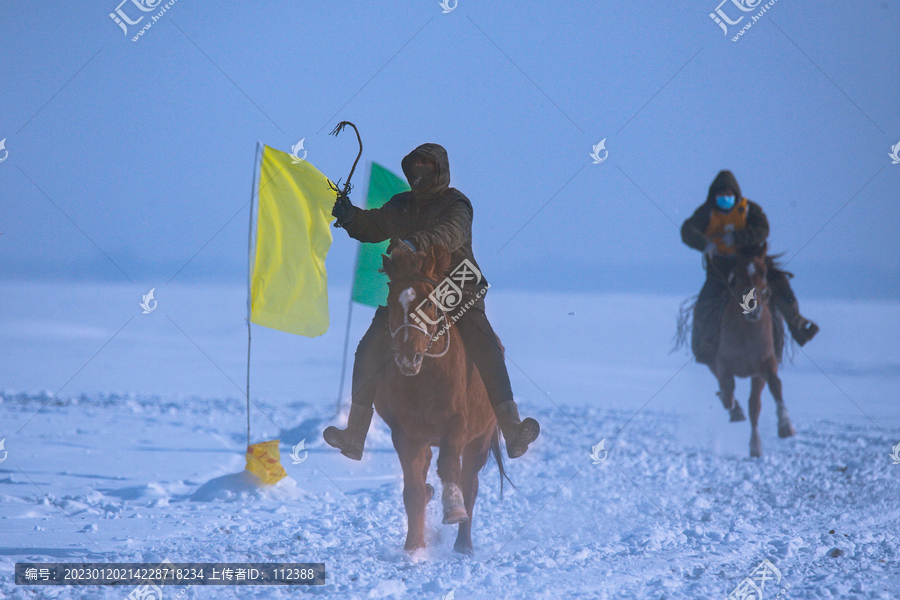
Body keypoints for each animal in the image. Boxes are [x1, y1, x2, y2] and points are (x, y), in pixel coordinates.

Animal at [376, 243, 510, 552]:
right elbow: (413, 490)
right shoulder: (405, 435)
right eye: (391, 302)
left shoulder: (457, 428)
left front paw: (453, 511)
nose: (408, 357)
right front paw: (413, 547)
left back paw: (464, 545)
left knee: (469, 484)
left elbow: (449, 468)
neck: (425, 379)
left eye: (428, 303)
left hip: (479, 440)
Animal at [712, 241, 796, 458]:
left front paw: (785, 426)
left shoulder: (765, 364)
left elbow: (775, 386)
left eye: (764, 272)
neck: (746, 333)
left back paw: (755, 446)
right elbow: (727, 391)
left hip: (757, 376)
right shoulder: (722, 363)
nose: (753, 309)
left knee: (754, 406)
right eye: (738, 272)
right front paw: (731, 406)